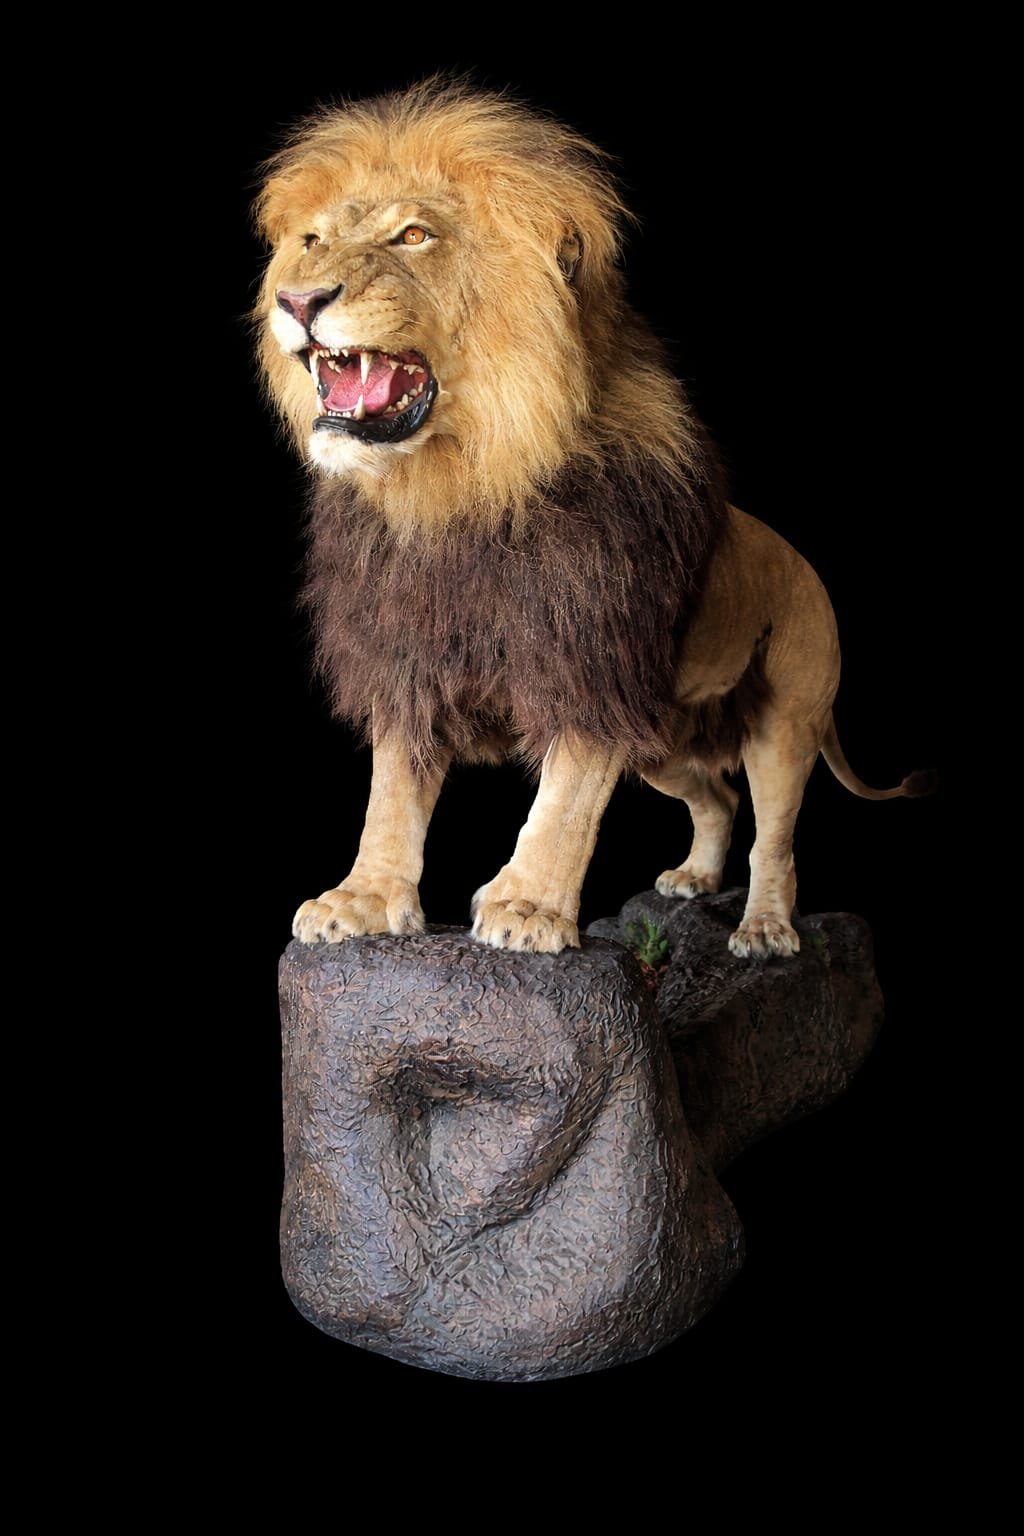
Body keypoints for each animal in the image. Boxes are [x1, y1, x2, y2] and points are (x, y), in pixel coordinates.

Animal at [255, 79, 932, 960]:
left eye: (413, 235)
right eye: (312, 241)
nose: (297, 299)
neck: (460, 492)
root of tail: (805, 564)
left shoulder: (592, 654)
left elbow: (567, 798)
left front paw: (527, 906)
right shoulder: (411, 655)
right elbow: (392, 793)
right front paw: (365, 898)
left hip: (785, 718)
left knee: (775, 837)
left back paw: (765, 928)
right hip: (664, 740)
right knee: (716, 797)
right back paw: (693, 879)